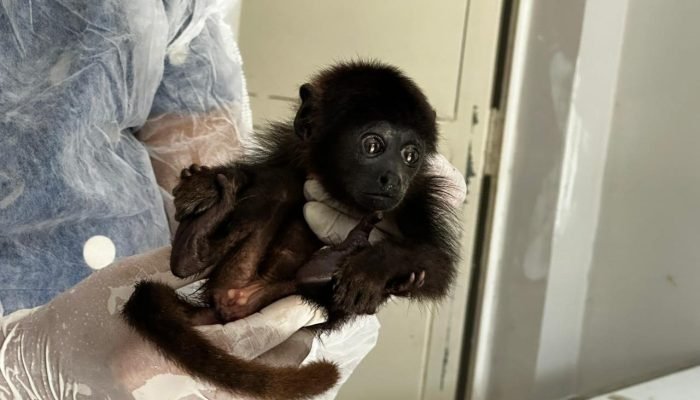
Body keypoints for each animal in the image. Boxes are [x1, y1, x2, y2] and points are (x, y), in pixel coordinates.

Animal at [122, 60, 461, 400]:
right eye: (373, 145)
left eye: (410, 155)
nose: (393, 179)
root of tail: (237, 300)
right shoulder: (291, 146)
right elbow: (259, 172)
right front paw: (204, 186)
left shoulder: (419, 196)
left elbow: (439, 266)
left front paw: (372, 267)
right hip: (235, 273)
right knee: (281, 184)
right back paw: (193, 246)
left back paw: (326, 267)